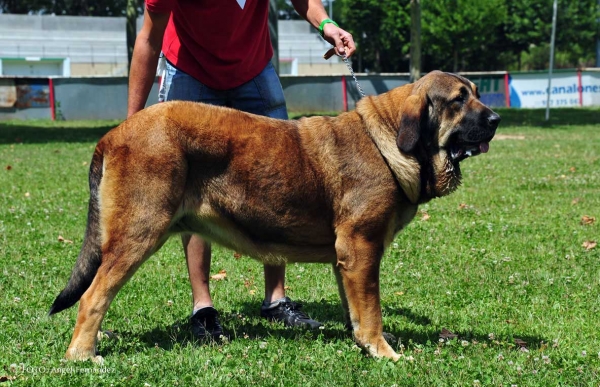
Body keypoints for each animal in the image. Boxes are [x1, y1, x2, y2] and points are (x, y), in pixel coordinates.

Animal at [47, 70, 500, 364]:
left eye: (478, 93)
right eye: (458, 100)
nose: (496, 119)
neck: (387, 140)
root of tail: (113, 134)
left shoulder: (347, 260)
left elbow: (356, 309)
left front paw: (363, 343)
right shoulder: (362, 250)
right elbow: (371, 309)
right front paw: (384, 352)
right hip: (139, 234)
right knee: (93, 296)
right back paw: (83, 355)